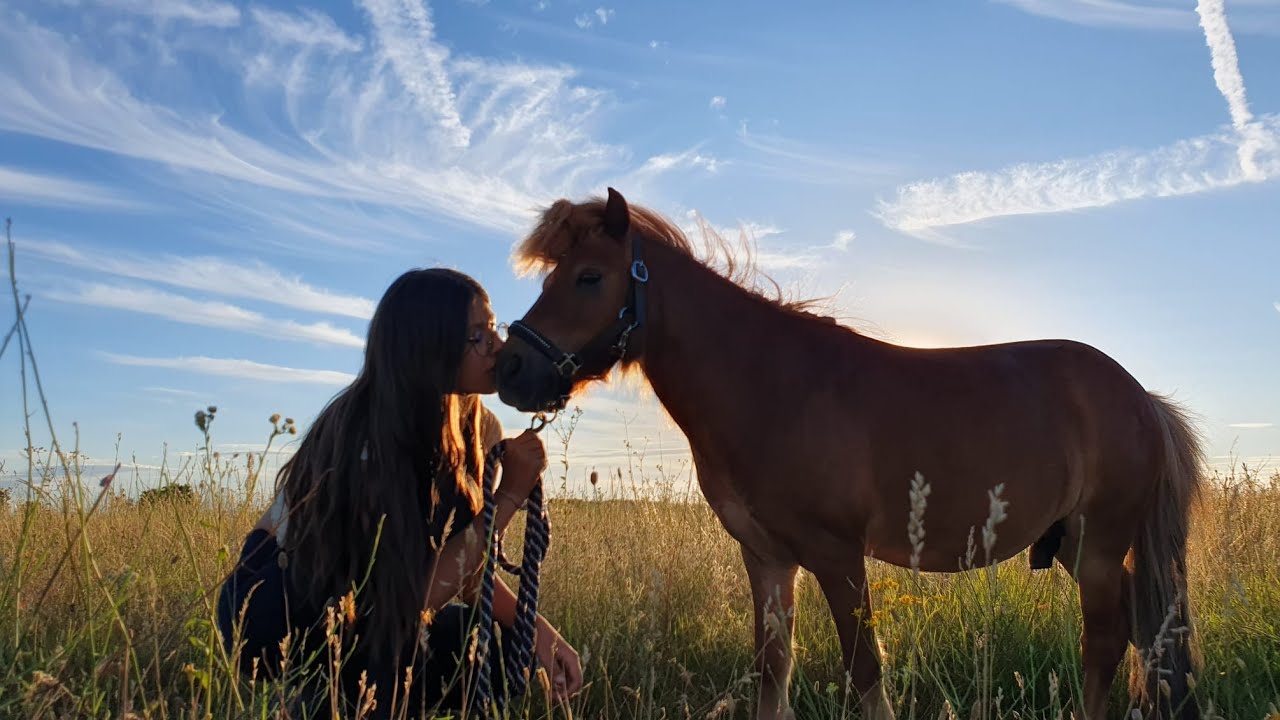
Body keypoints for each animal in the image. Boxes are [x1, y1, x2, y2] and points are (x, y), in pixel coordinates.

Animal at [493, 188, 1204, 720]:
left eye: (589, 277)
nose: (512, 368)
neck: (772, 386)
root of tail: (1140, 398)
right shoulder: (768, 558)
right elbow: (773, 669)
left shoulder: (837, 557)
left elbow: (864, 670)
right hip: (1080, 546)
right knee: (1142, 632)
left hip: (1101, 545)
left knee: (1105, 642)